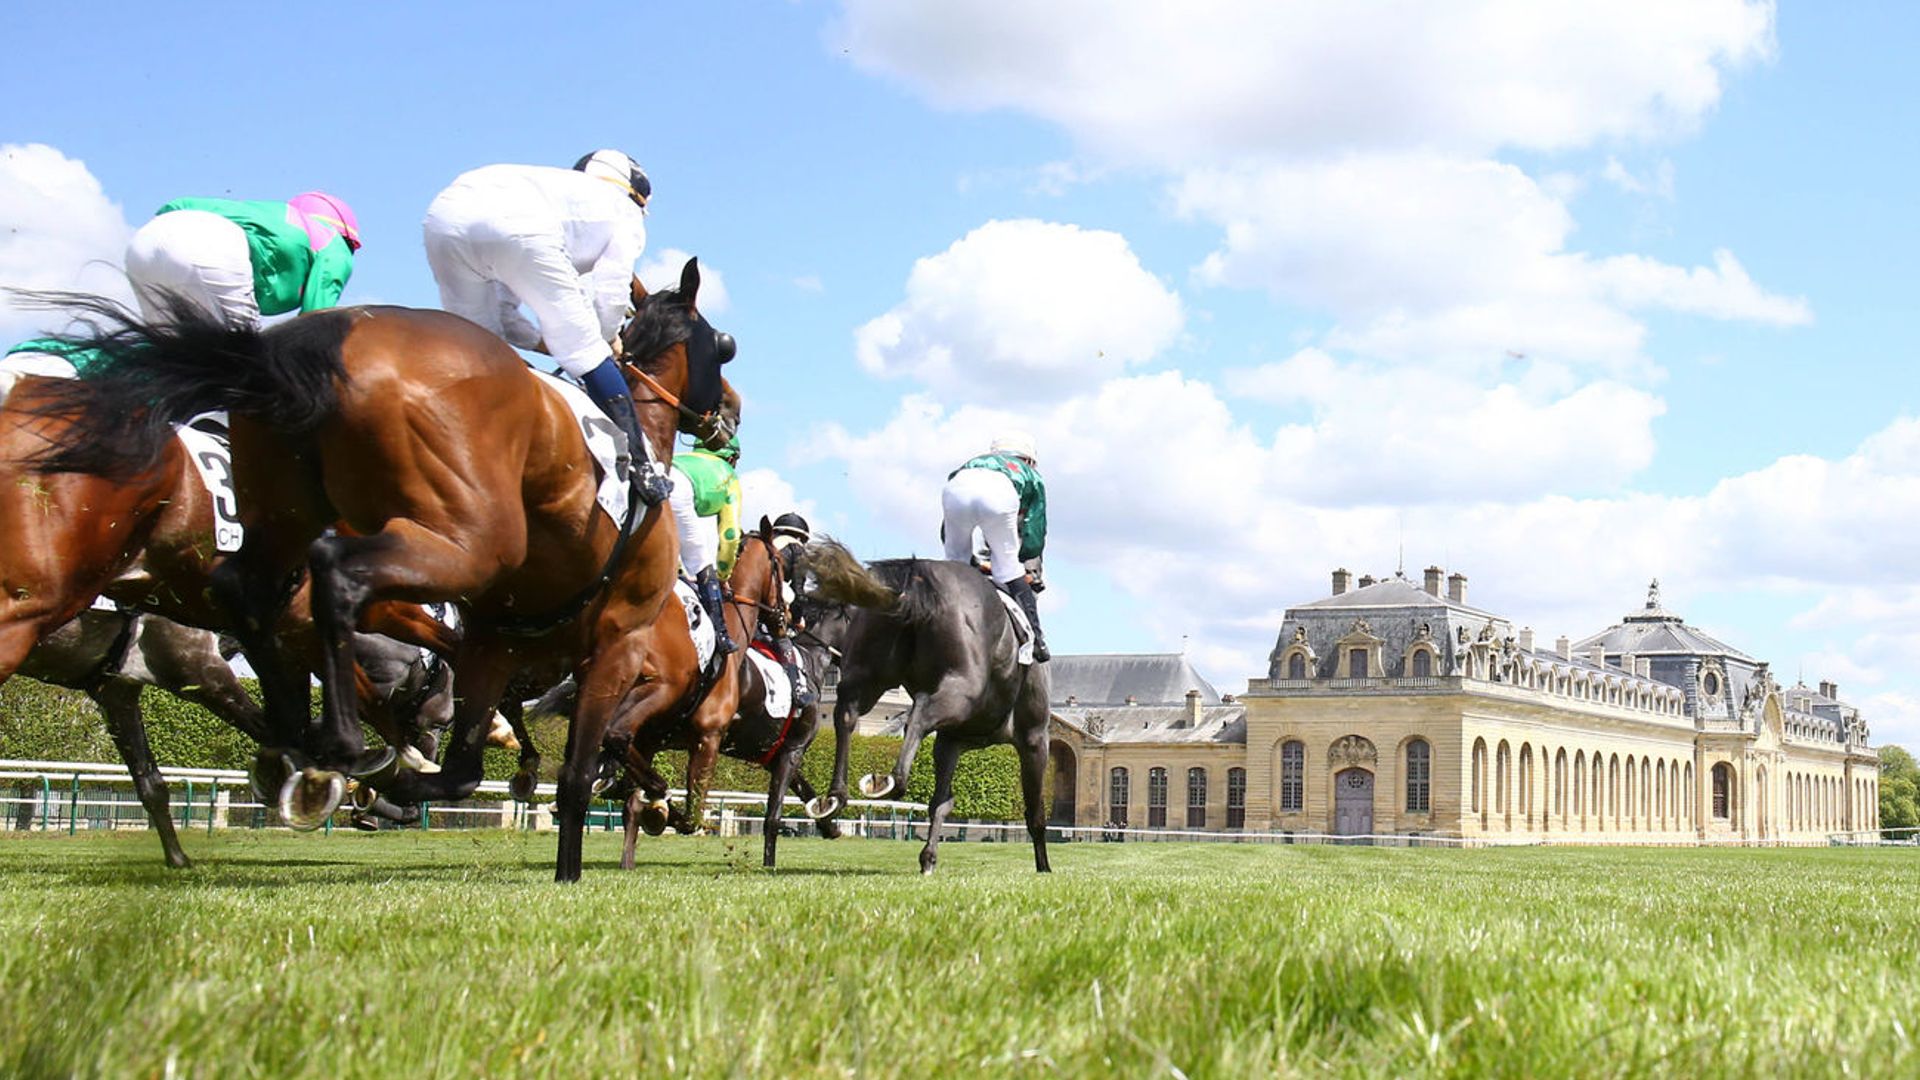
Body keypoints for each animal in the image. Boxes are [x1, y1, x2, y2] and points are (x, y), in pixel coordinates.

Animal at [30, 259, 733, 876]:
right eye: (722, 346)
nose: (731, 410)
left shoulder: (492, 642)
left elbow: (463, 773)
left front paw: (400, 780)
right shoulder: (614, 643)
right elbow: (574, 775)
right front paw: (571, 865)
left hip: (288, 511)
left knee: (250, 591)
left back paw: (302, 742)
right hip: (462, 544)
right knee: (334, 576)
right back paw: (337, 743)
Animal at [802, 538, 1059, 876]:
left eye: (823, 615)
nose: (810, 650)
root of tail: (913, 582)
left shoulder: (950, 741)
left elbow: (941, 801)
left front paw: (928, 857)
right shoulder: (1034, 739)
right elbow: (1035, 811)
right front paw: (1044, 867)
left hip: (868, 675)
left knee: (847, 714)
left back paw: (835, 796)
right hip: (961, 689)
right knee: (919, 712)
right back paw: (892, 781)